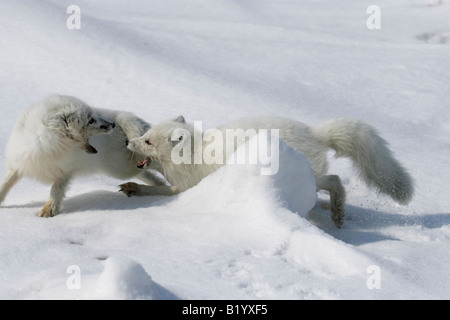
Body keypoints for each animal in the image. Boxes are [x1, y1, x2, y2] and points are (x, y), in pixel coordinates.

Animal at [120, 115, 414, 228]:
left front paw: (135, 189)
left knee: (335, 180)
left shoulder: (186, 186)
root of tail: (314, 134)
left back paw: (338, 215)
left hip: (311, 175)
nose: (127, 142)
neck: (197, 153)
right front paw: (132, 187)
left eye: (147, 142)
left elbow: (159, 191)